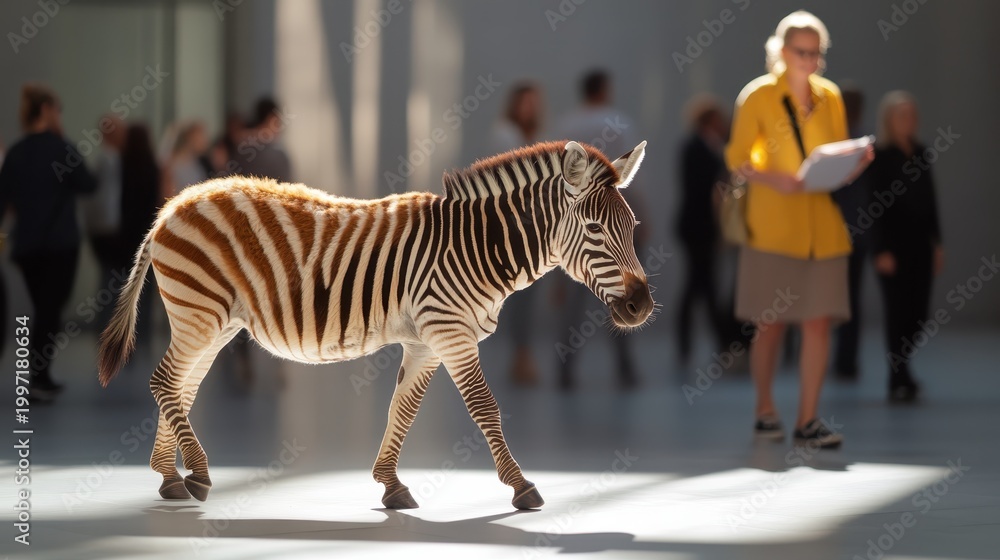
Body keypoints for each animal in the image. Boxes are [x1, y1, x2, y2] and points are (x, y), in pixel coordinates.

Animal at [97, 139, 654, 510]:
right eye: (595, 229)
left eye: (633, 227)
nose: (642, 307)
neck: (475, 247)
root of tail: (172, 206)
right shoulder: (451, 333)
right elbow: (486, 409)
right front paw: (522, 486)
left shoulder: (427, 342)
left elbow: (401, 410)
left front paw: (391, 485)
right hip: (200, 312)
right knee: (164, 381)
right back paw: (198, 474)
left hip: (214, 323)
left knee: (180, 387)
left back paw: (170, 478)